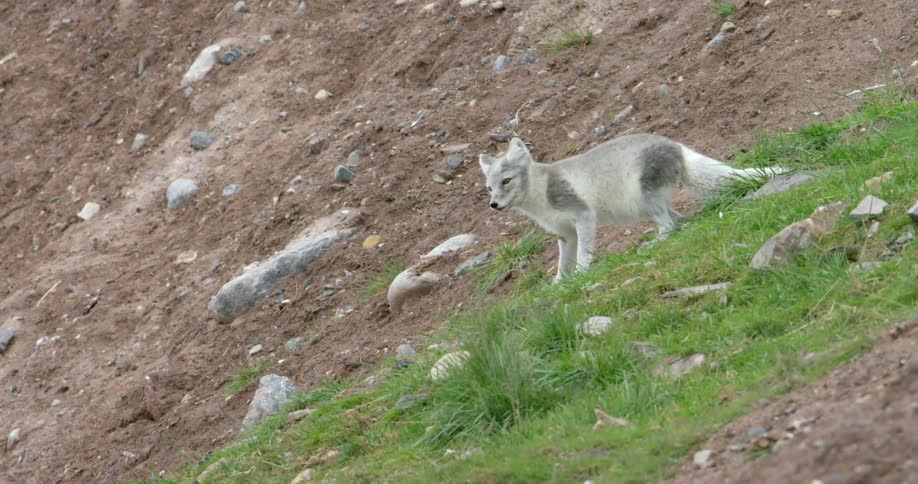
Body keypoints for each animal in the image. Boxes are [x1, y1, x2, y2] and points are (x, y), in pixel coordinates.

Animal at [478, 134, 782, 283]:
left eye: (507, 181)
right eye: (489, 187)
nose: (494, 205)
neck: (539, 197)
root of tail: (676, 145)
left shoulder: (583, 216)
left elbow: (583, 254)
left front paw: (581, 274)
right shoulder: (564, 234)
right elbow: (562, 263)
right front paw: (558, 284)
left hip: (644, 196)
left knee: (669, 225)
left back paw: (653, 244)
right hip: (643, 206)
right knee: (678, 219)